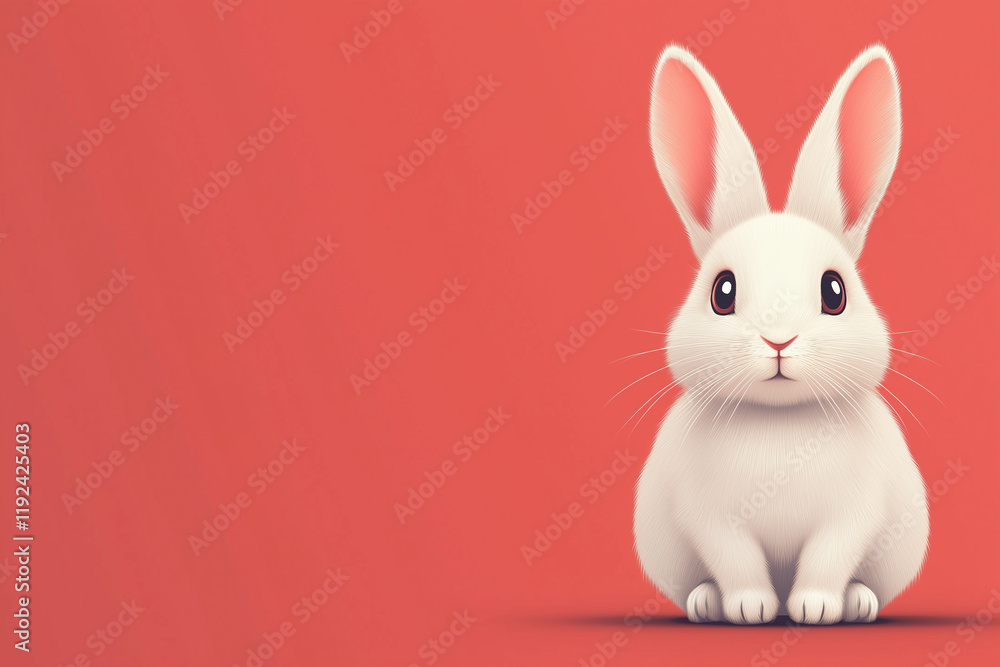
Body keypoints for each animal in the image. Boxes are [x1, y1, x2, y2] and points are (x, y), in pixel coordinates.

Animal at [632, 44, 928, 625]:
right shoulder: (713, 520)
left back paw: (858, 603)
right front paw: (751, 608)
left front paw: (815, 608)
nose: (778, 341)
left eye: (834, 291)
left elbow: (827, 559)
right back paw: (706, 603)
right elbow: (738, 562)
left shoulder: (851, 516)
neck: (779, 422)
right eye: (722, 291)